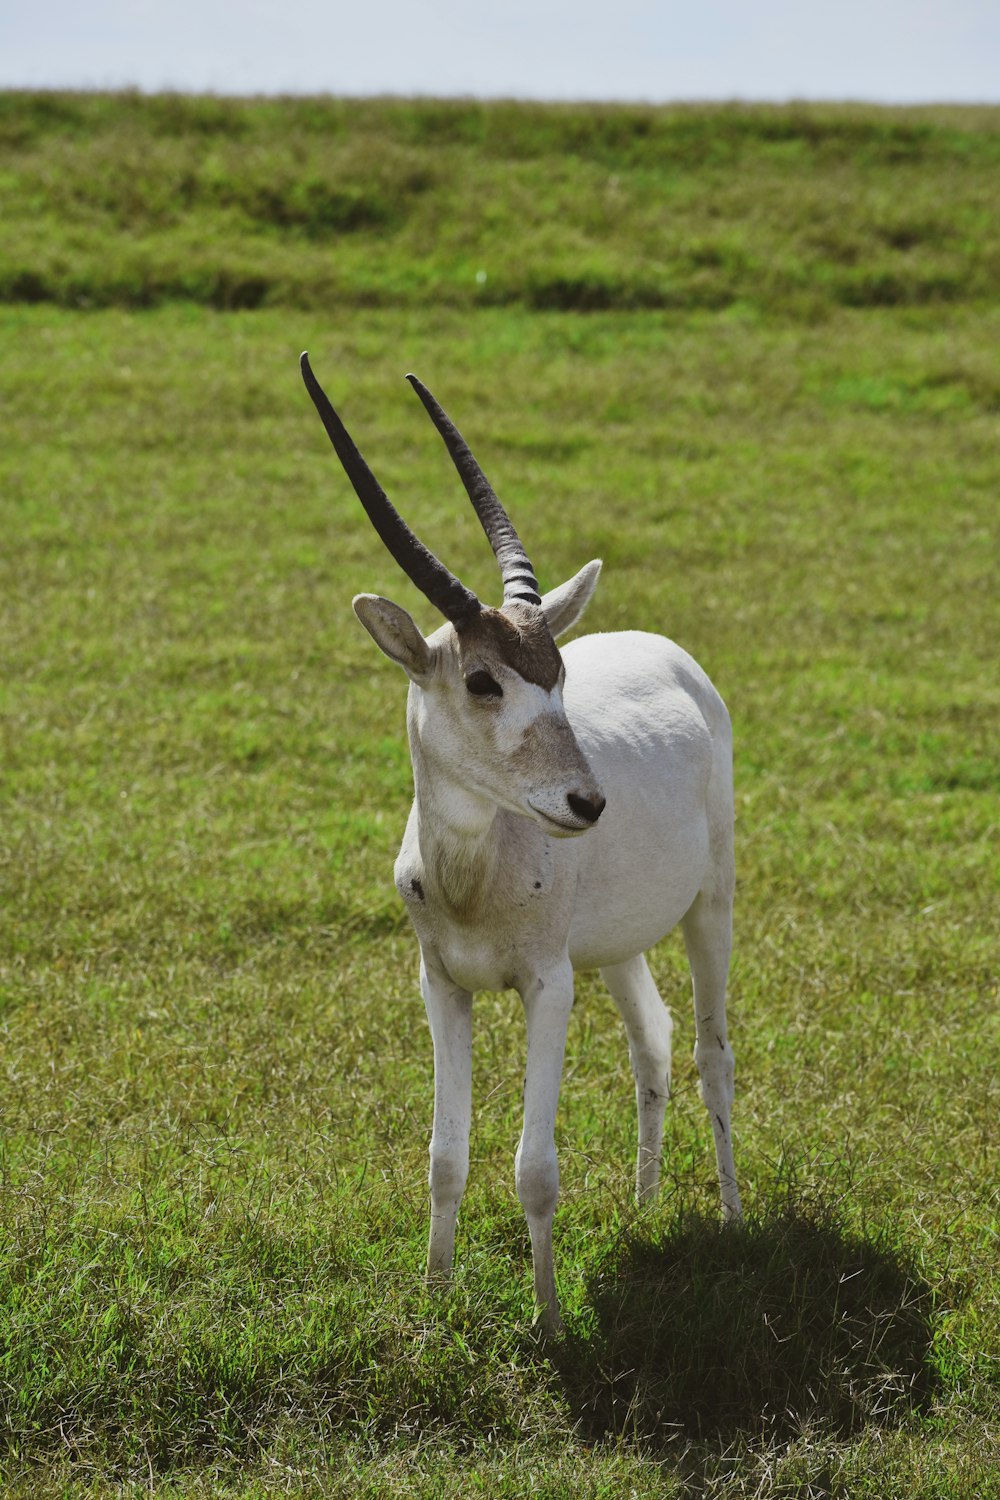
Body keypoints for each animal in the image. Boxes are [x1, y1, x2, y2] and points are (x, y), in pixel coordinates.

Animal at [301, 354, 740, 1338]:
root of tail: (671, 651)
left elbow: (535, 1168)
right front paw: (435, 1299)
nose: (587, 801)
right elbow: (445, 1155)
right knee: (653, 1040)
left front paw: (548, 1320)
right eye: (480, 679)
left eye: (559, 672)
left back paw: (736, 1221)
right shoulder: (443, 986)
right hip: (613, 948)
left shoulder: (547, 985)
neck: (473, 881)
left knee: (711, 1053)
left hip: (711, 908)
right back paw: (646, 1209)